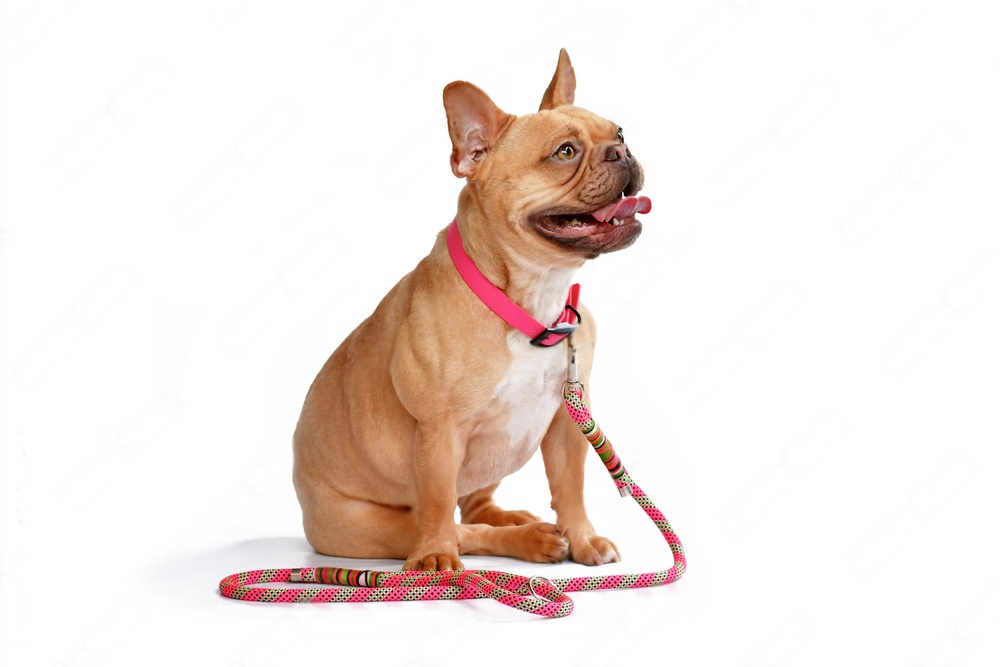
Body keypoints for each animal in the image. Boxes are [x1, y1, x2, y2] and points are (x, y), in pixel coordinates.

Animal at [292, 51, 648, 576]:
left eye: (619, 131)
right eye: (565, 152)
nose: (621, 151)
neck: (530, 300)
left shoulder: (567, 423)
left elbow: (571, 487)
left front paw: (584, 539)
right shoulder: (440, 433)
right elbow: (440, 503)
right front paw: (437, 558)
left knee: (476, 506)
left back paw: (518, 521)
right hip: (372, 524)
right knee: (460, 526)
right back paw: (521, 540)